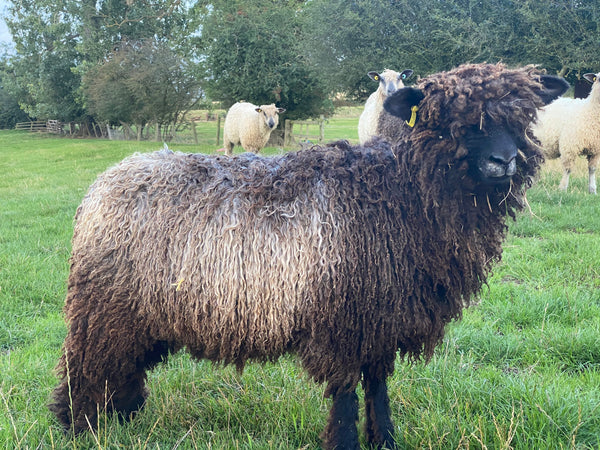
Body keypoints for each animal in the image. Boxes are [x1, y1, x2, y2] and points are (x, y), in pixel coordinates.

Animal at [48, 64, 568, 450]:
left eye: (522, 116)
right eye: (448, 121)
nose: (504, 162)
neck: (397, 194)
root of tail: (106, 180)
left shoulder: (382, 317)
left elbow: (378, 386)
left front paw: (385, 440)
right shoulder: (342, 319)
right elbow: (345, 393)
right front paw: (346, 443)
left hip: (142, 311)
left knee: (124, 362)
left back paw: (123, 414)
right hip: (104, 306)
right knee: (85, 361)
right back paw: (80, 424)